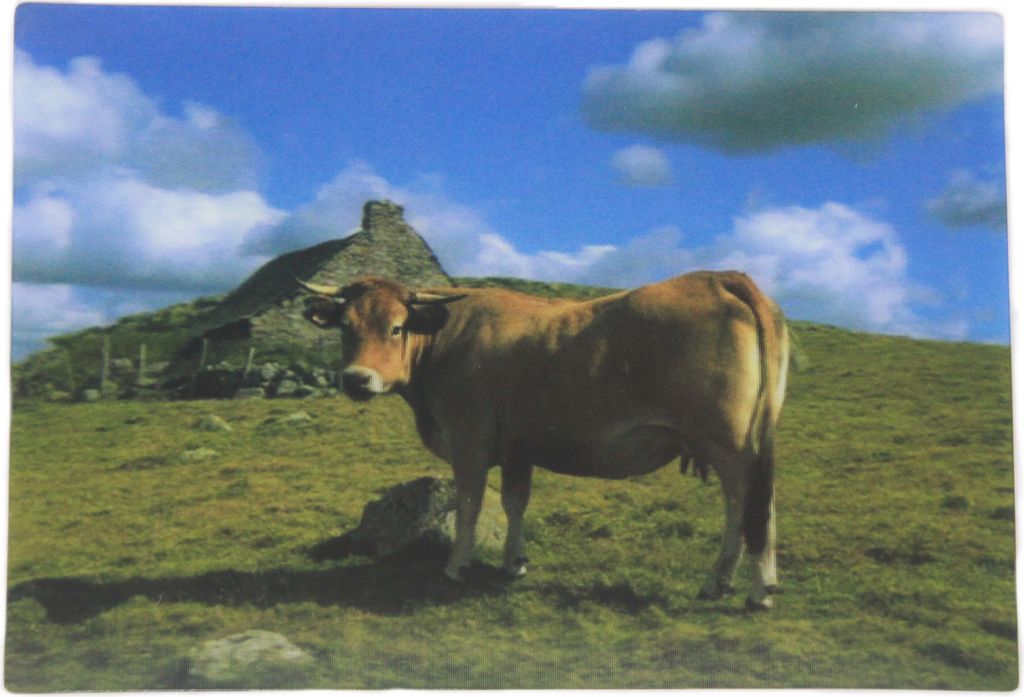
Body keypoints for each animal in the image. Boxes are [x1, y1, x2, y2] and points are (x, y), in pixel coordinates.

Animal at [299, 271, 789, 610]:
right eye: (345, 326)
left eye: (397, 327)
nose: (357, 379)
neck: (444, 341)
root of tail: (720, 276)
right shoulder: (519, 446)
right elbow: (515, 502)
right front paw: (513, 563)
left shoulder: (469, 440)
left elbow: (469, 504)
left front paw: (457, 566)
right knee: (747, 504)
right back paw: (725, 583)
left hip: (728, 442)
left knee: (750, 502)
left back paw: (752, 589)